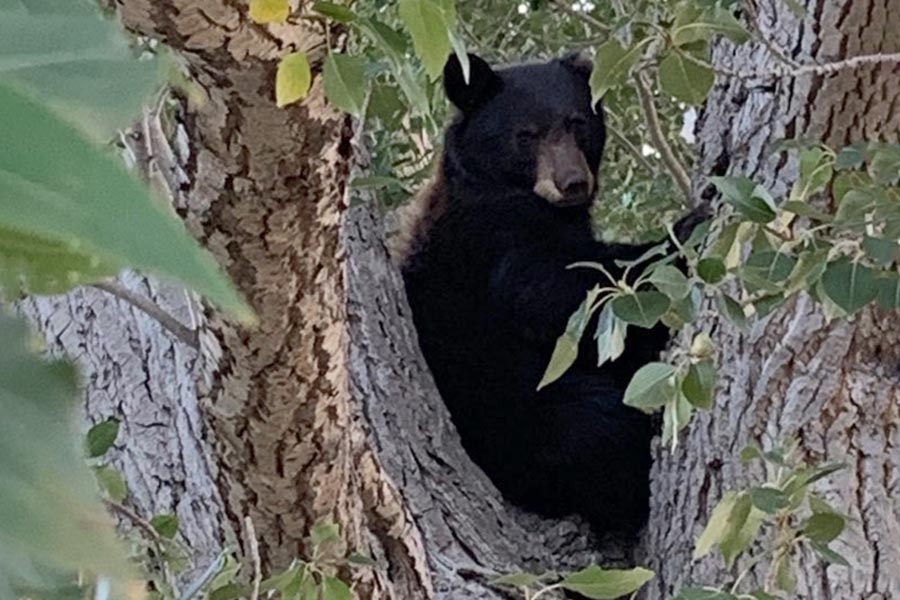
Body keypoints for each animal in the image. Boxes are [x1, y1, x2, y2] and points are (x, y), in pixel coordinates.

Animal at [398, 54, 700, 536]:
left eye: (577, 123)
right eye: (527, 134)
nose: (572, 182)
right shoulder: (492, 237)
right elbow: (554, 296)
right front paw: (681, 235)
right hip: (522, 419)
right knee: (599, 428)